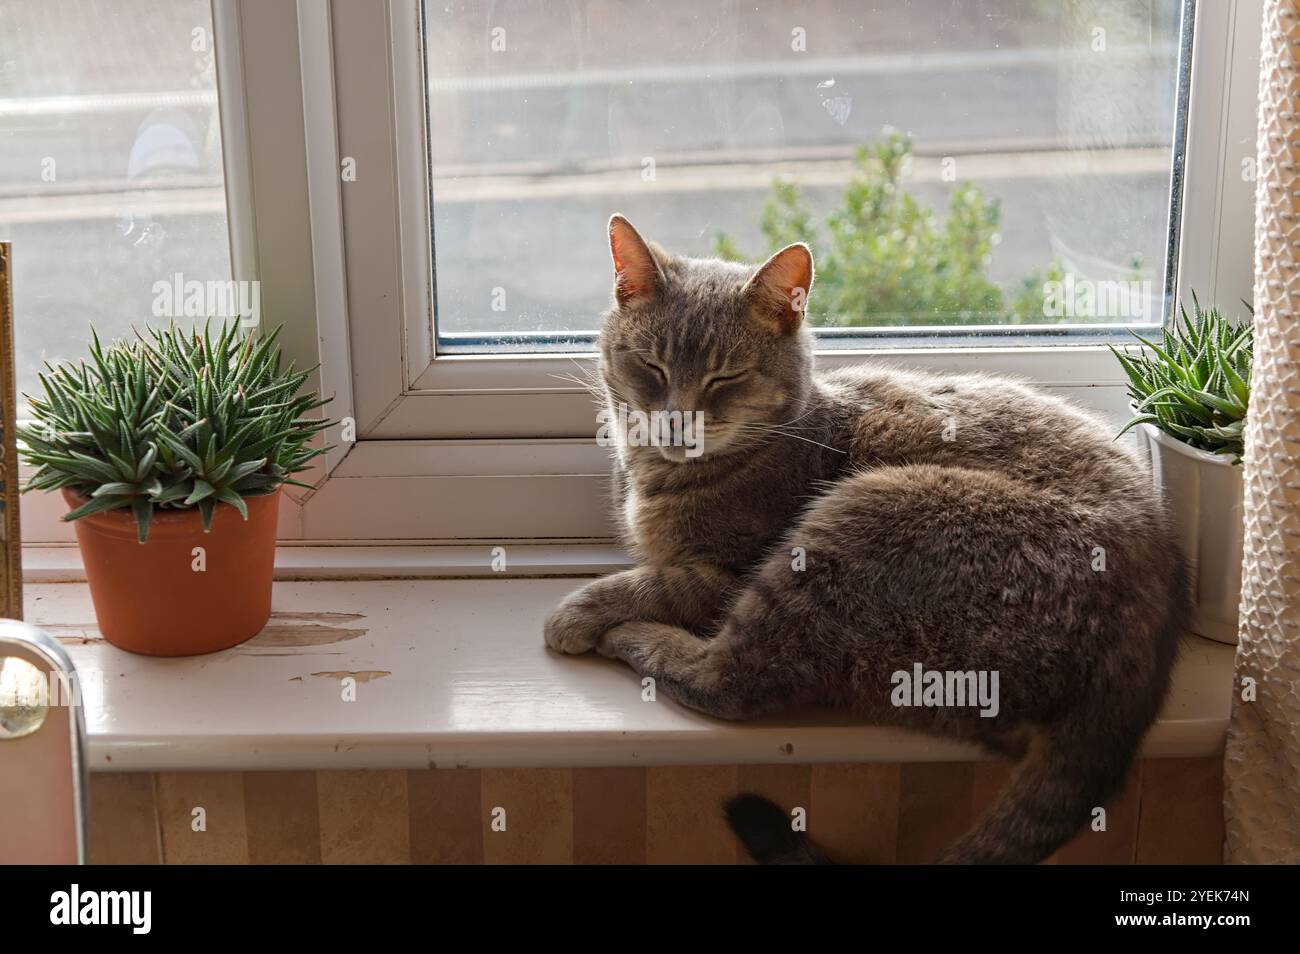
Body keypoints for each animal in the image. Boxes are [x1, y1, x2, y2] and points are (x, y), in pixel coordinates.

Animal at [546, 217, 1190, 868]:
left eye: (725, 377)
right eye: (650, 367)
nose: (677, 423)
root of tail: (1142, 646)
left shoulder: (725, 572)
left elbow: (650, 583)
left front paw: (579, 612)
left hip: (858, 519)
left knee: (732, 680)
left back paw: (632, 639)